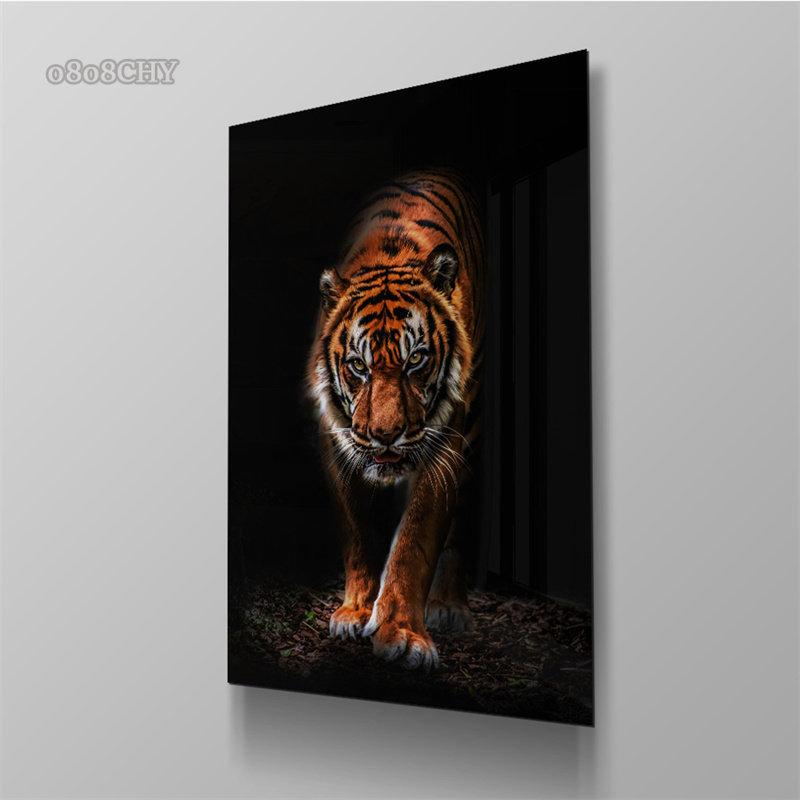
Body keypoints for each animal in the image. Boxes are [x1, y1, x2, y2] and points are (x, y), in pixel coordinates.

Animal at [307, 169, 484, 671]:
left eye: (416, 359)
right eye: (358, 366)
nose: (385, 436)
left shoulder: (446, 444)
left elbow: (415, 541)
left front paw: (403, 635)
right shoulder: (335, 440)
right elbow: (357, 532)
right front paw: (355, 611)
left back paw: (448, 606)